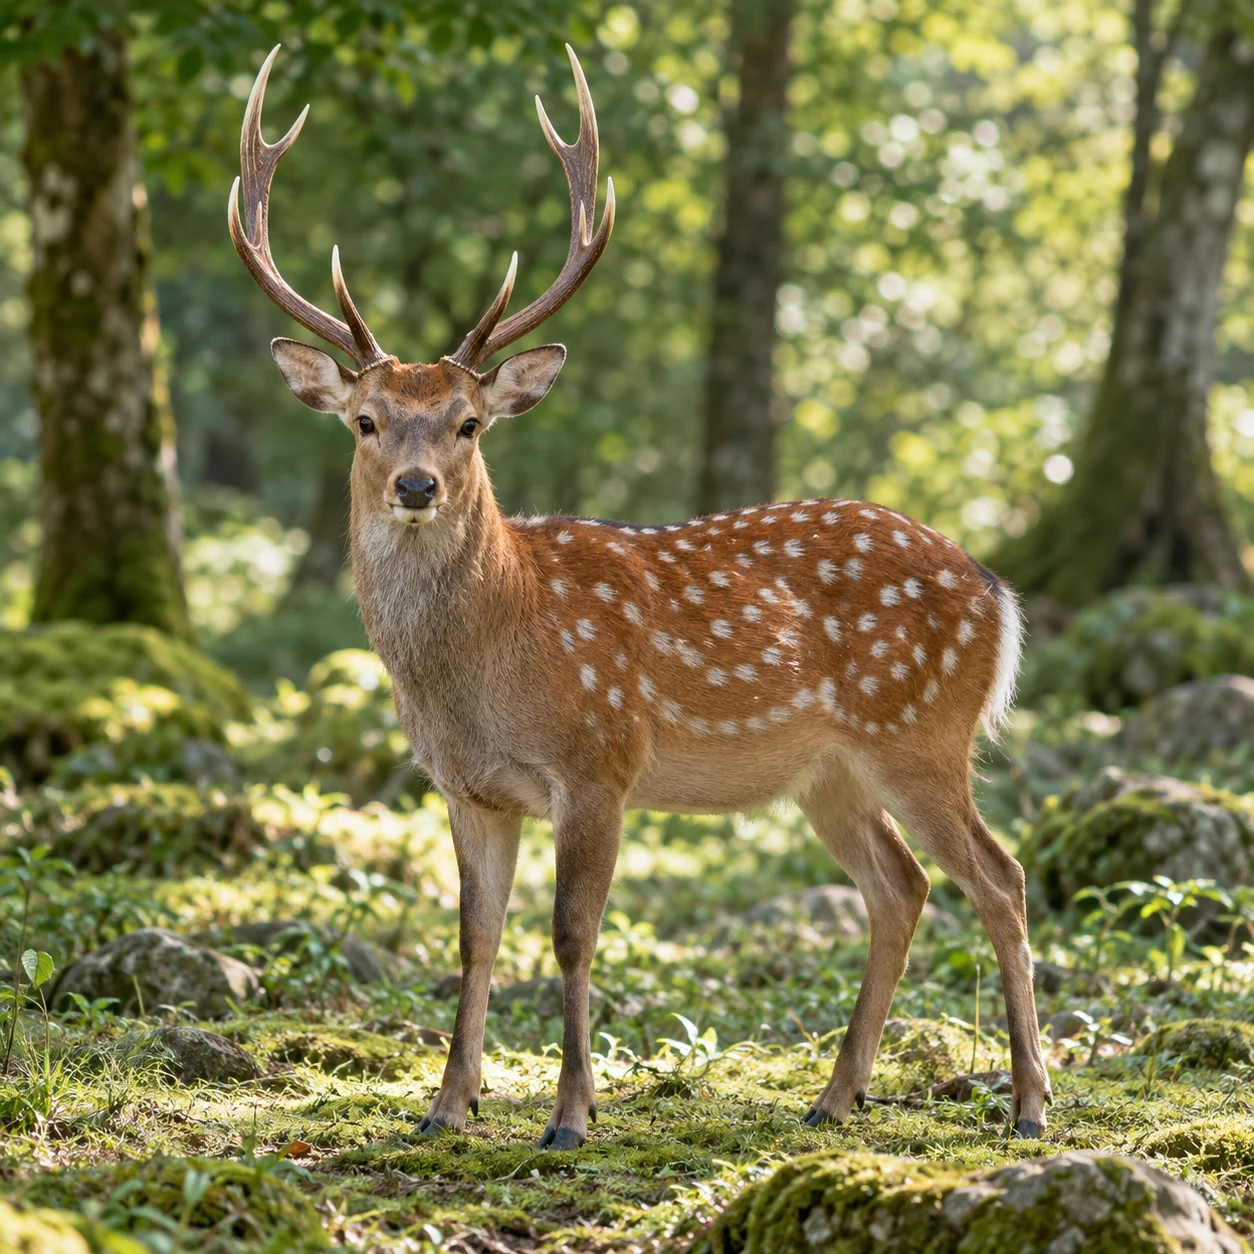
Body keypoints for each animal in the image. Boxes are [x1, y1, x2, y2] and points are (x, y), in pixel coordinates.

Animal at [229, 44, 1052, 1150]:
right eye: (366, 420)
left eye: (468, 423)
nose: (416, 485)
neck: (490, 657)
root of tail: (996, 593)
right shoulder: (468, 789)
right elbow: (475, 937)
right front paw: (447, 1105)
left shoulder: (600, 760)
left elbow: (572, 934)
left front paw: (571, 1116)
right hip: (829, 773)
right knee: (902, 887)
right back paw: (835, 1094)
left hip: (922, 732)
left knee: (999, 879)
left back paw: (1030, 1104)